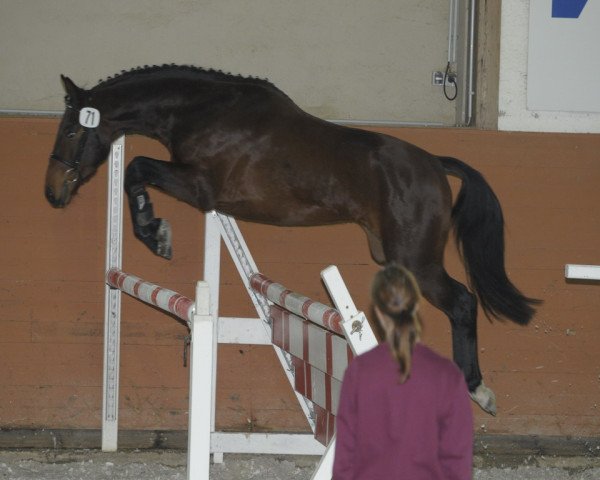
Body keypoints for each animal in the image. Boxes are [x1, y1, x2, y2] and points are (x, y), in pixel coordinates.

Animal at [43, 65, 540, 414]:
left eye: (70, 129)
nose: (52, 194)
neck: (202, 111)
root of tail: (436, 163)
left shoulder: (200, 188)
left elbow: (137, 168)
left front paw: (154, 232)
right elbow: (137, 170)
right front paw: (154, 229)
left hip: (416, 261)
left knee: (462, 303)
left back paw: (477, 388)